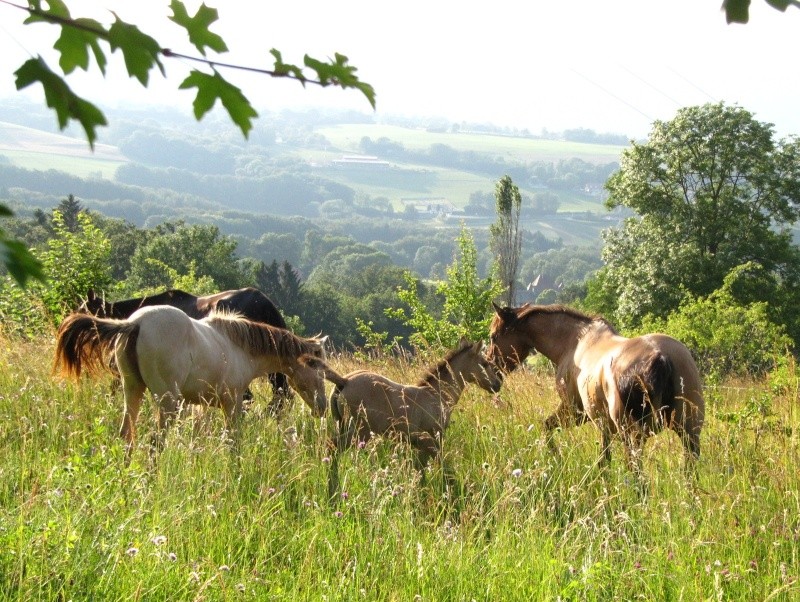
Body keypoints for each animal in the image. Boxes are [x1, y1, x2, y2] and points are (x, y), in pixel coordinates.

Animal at [54, 308, 326, 458]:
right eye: (318, 369)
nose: (322, 407)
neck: (238, 346)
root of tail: (136, 323)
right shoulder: (232, 403)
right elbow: (233, 441)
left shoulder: (199, 405)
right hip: (167, 402)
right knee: (155, 441)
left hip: (132, 390)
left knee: (126, 435)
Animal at [304, 338, 500, 492]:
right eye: (485, 363)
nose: (497, 384)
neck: (435, 394)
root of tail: (344, 381)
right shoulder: (434, 436)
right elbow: (440, 463)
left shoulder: (421, 441)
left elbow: (420, 468)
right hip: (359, 433)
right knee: (332, 447)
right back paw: (333, 488)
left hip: (342, 425)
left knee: (331, 450)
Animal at [484, 302, 704, 476]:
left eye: (493, 337)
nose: (490, 376)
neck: (574, 342)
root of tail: (660, 356)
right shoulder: (602, 423)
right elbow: (604, 459)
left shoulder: (574, 411)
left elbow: (546, 427)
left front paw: (557, 458)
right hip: (689, 432)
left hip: (633, 436)